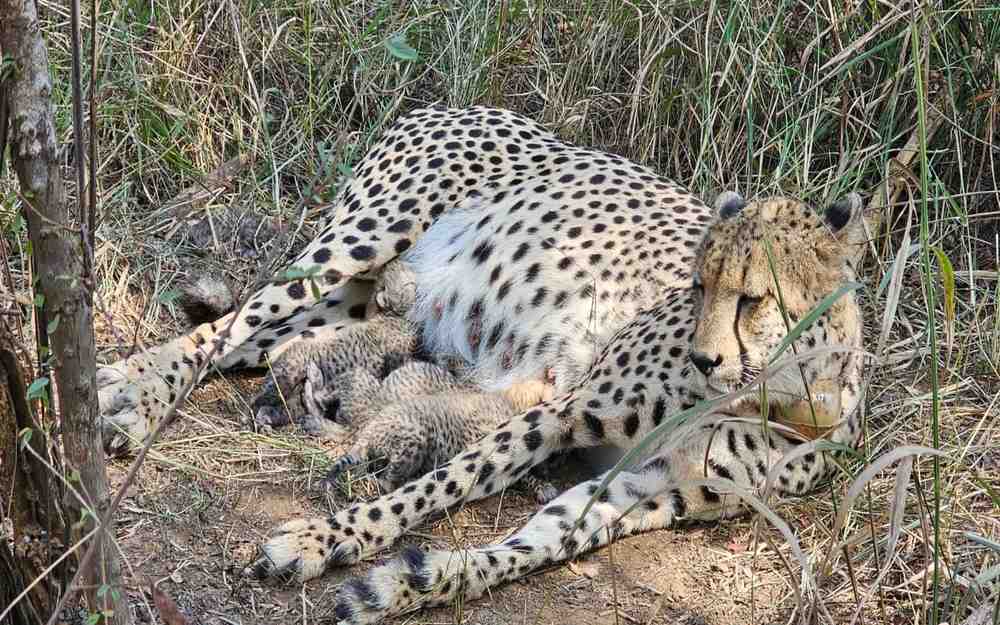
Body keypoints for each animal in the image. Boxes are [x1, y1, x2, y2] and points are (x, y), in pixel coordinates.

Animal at [94, 105, 868, 625]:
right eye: (699, 286)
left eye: (753, 297)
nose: (704, 356)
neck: (783, 393)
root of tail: (454, 104)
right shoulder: (563, 411)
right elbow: (441, 484)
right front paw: (328, 538)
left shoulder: (651, 488)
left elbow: (537, 541)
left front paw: (410, 584)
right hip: (358, 242)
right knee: (231, 323)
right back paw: (128, 399)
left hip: (357, 304)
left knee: (263, 343)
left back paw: (137, 384)